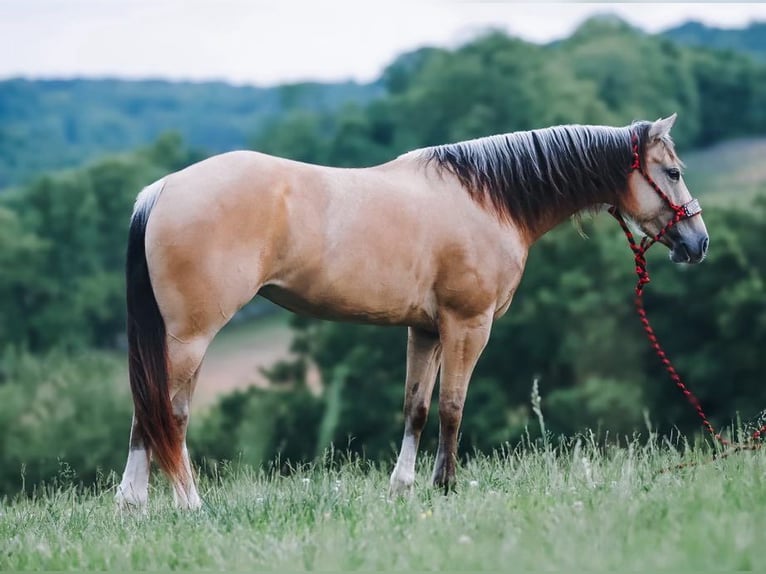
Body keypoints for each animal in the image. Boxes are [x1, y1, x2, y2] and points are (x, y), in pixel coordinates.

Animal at [117, 115, 712, 510]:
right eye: (673, 171)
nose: (699, 242)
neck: (487, 198)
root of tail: (159, 190)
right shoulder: (468, 324)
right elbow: (452, 407)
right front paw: (444, 486)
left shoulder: (425, 329)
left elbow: (417, 408)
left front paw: (402, 488)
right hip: (191, 337)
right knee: (164, 413)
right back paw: (186, 505)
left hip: (182, 340)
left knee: (156, 413)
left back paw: (135, 505)